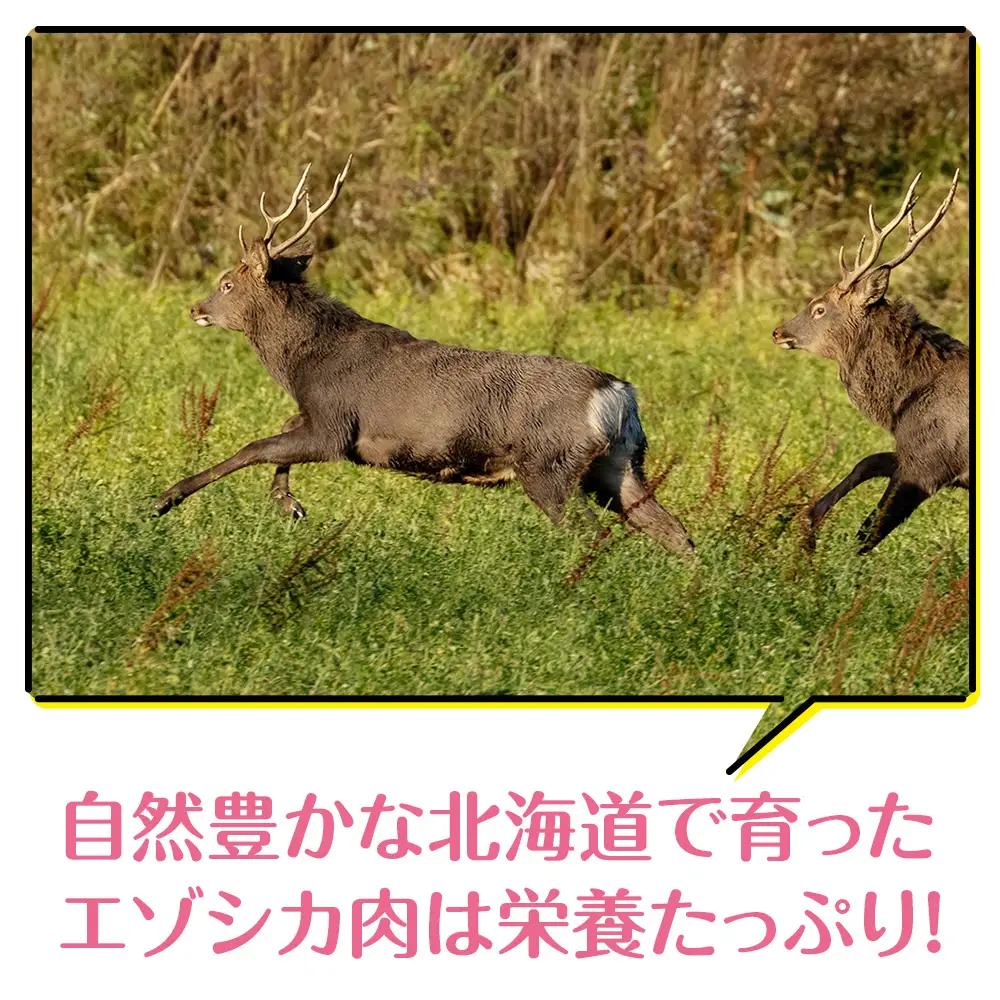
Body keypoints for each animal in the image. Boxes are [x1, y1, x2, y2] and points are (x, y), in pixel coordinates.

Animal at [154, 157, 695, 557]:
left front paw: (165, 499)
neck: (304, 363)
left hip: (549, 465)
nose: (195, 307)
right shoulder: (319, 419)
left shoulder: (335, 425)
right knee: (675, 532)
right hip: (619, 463)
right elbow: (278, 434)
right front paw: (288, 504)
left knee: (595, 534)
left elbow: (255, 446)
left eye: (227, 282)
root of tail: (618, 393)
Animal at [772, 170, 968, 554]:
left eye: (819, 308)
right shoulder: (914, 454)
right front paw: (809, 523)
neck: (900, 404)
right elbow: (868, 461)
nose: (778, 332)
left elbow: (868, 532)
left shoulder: (930, 463)